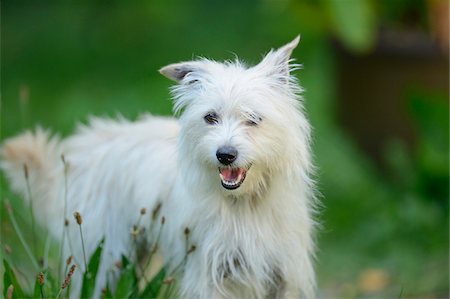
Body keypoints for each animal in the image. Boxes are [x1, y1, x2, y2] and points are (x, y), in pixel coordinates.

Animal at [0, 36, 316, 298]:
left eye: (253, 118)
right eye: (210, 117)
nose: (224, 155)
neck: (245, 204)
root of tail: (82, 152)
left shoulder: (283, 276)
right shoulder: (209, 277)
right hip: (103, 259)